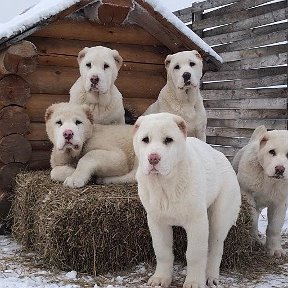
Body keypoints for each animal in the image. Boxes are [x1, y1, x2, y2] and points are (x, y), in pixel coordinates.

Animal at [133, 112, 241, 288]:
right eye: (145, 140)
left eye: (168, 140)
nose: (153, 158)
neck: (164, 184)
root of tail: (221, 156)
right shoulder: (157, 221)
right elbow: (162, 251)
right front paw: (161, 278)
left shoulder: (197, 222)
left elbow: (195, 254)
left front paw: (194, 282)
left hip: (219, 217)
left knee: (216, 248)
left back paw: (210, 276)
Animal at [232, 125, 288, 258]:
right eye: (272, 152)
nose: (280, 169)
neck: (269, 180)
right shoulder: (246, 193)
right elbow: (252, 219)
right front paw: (253, 240)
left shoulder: (280, 203)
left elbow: (274, 227)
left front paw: (275, 250)